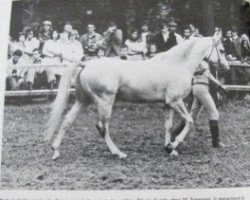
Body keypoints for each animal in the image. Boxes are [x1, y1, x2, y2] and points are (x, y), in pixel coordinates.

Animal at [44, 35, 229, 160]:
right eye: (221, 50)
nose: (226, 67)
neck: (177, 65)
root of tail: (86, 63)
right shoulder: (175, 101)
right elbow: (189, 121)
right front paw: (174, 144)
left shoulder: (168, 104)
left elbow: (168, 126)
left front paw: (169, 148)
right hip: (105, 102)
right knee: (102, 127)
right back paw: (119, 153)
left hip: (83, 101)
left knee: (67, 120)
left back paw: (55, 150)